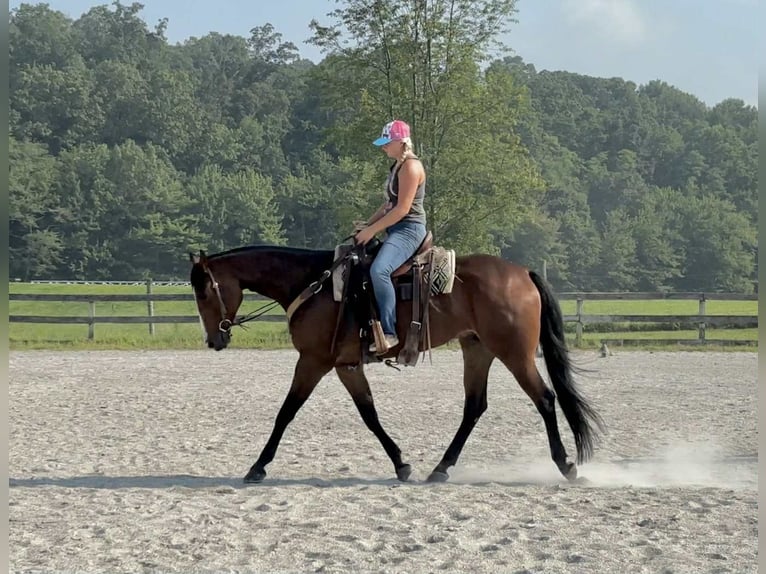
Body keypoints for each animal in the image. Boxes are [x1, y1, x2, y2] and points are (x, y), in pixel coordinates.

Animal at [189, 243, 604, 484]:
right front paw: (401, 464)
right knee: (474, 406)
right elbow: (369, 414)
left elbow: (286, 412)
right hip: (477, 349)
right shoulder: (346, 365)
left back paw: (566, 466)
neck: (313, 284)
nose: (213, 340)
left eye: (205, 290)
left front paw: (257, 467)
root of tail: (523, 274)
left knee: (545, 399)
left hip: (514, 353)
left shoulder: (313, 361)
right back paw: (440, 469)